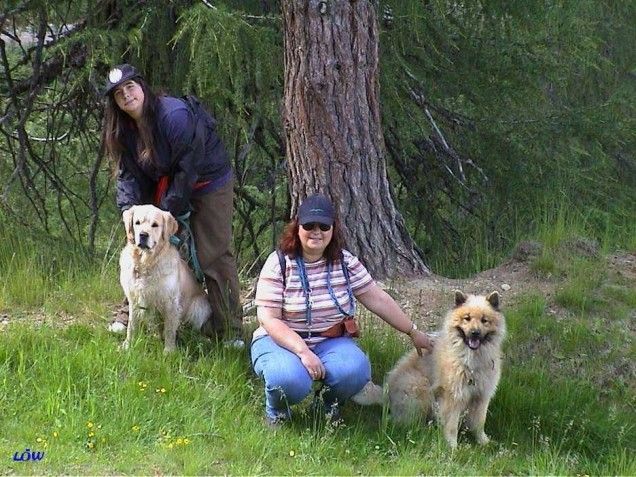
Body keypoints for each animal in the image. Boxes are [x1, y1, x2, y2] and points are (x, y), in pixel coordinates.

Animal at [118, 203, 210, 352]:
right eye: (137, 223)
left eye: (155, 225)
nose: (143, 235)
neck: (146, 263)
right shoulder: (134, 298)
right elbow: (132, 325)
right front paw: (127, 345)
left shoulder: (171, 302)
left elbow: (169, 329)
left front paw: (169, 351)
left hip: (199, 306)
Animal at [386, 288, 504, 448]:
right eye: (467, 318)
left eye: (484, 320)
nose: (475, 332)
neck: (471, 359)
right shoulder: (453, 396)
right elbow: (451, 425)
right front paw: (452, 446)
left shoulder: (481, 395)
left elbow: (479, 422)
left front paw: (484, 442)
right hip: (420, 387)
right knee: (410, 422)